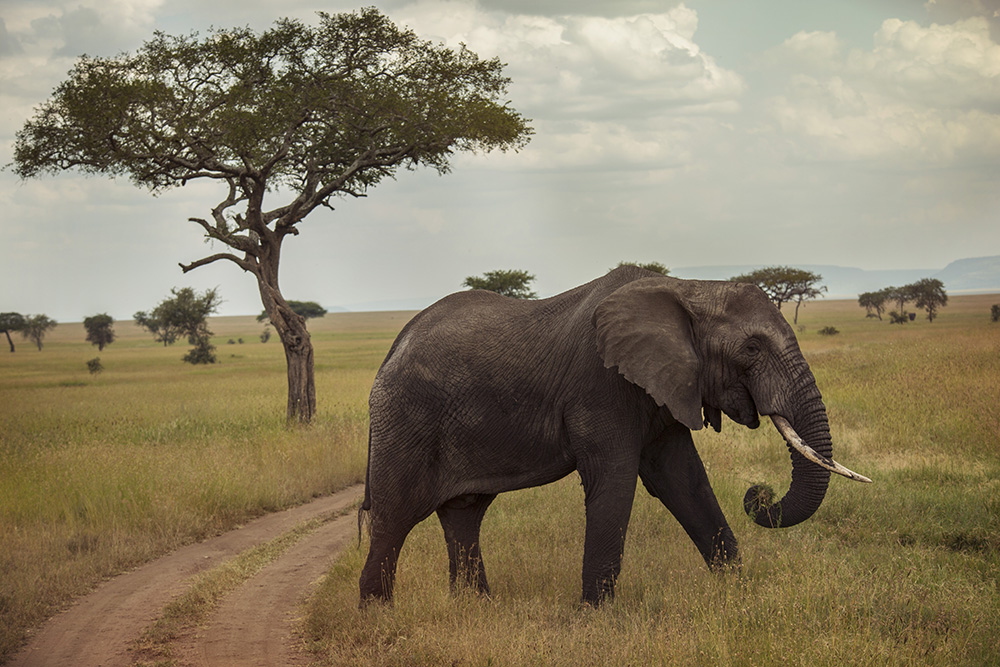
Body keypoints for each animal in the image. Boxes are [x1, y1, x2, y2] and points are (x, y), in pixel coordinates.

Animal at [360, 264, 868, 604]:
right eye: (752, 349)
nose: (759, 495)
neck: (690, 288)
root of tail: (391, 350)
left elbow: (683, 480)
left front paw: (738, 596)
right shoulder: (601, 385)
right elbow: (616, 482)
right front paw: (593, 615)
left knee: (464, 514)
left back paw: (477, 608)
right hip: (404, 418)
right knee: (394, 517)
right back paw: (377, 615)